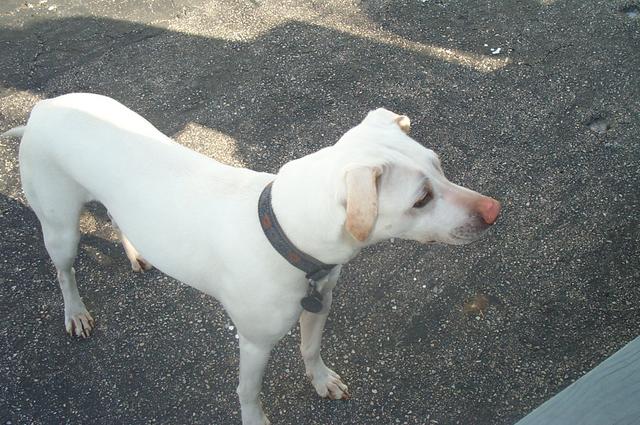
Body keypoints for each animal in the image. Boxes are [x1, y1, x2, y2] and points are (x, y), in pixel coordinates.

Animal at [3, 93, 500, 425]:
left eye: (439, 164)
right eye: (421, 200)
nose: (495, 211)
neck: (282, 229)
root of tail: (41, 110)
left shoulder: (321, 301)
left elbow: (310, 347)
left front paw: (321, 380)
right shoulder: (255, 343)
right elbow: (248, 390)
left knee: (116, 216)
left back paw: (136, 251)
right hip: (60, 228)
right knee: (65, 270)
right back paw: (75, 312)